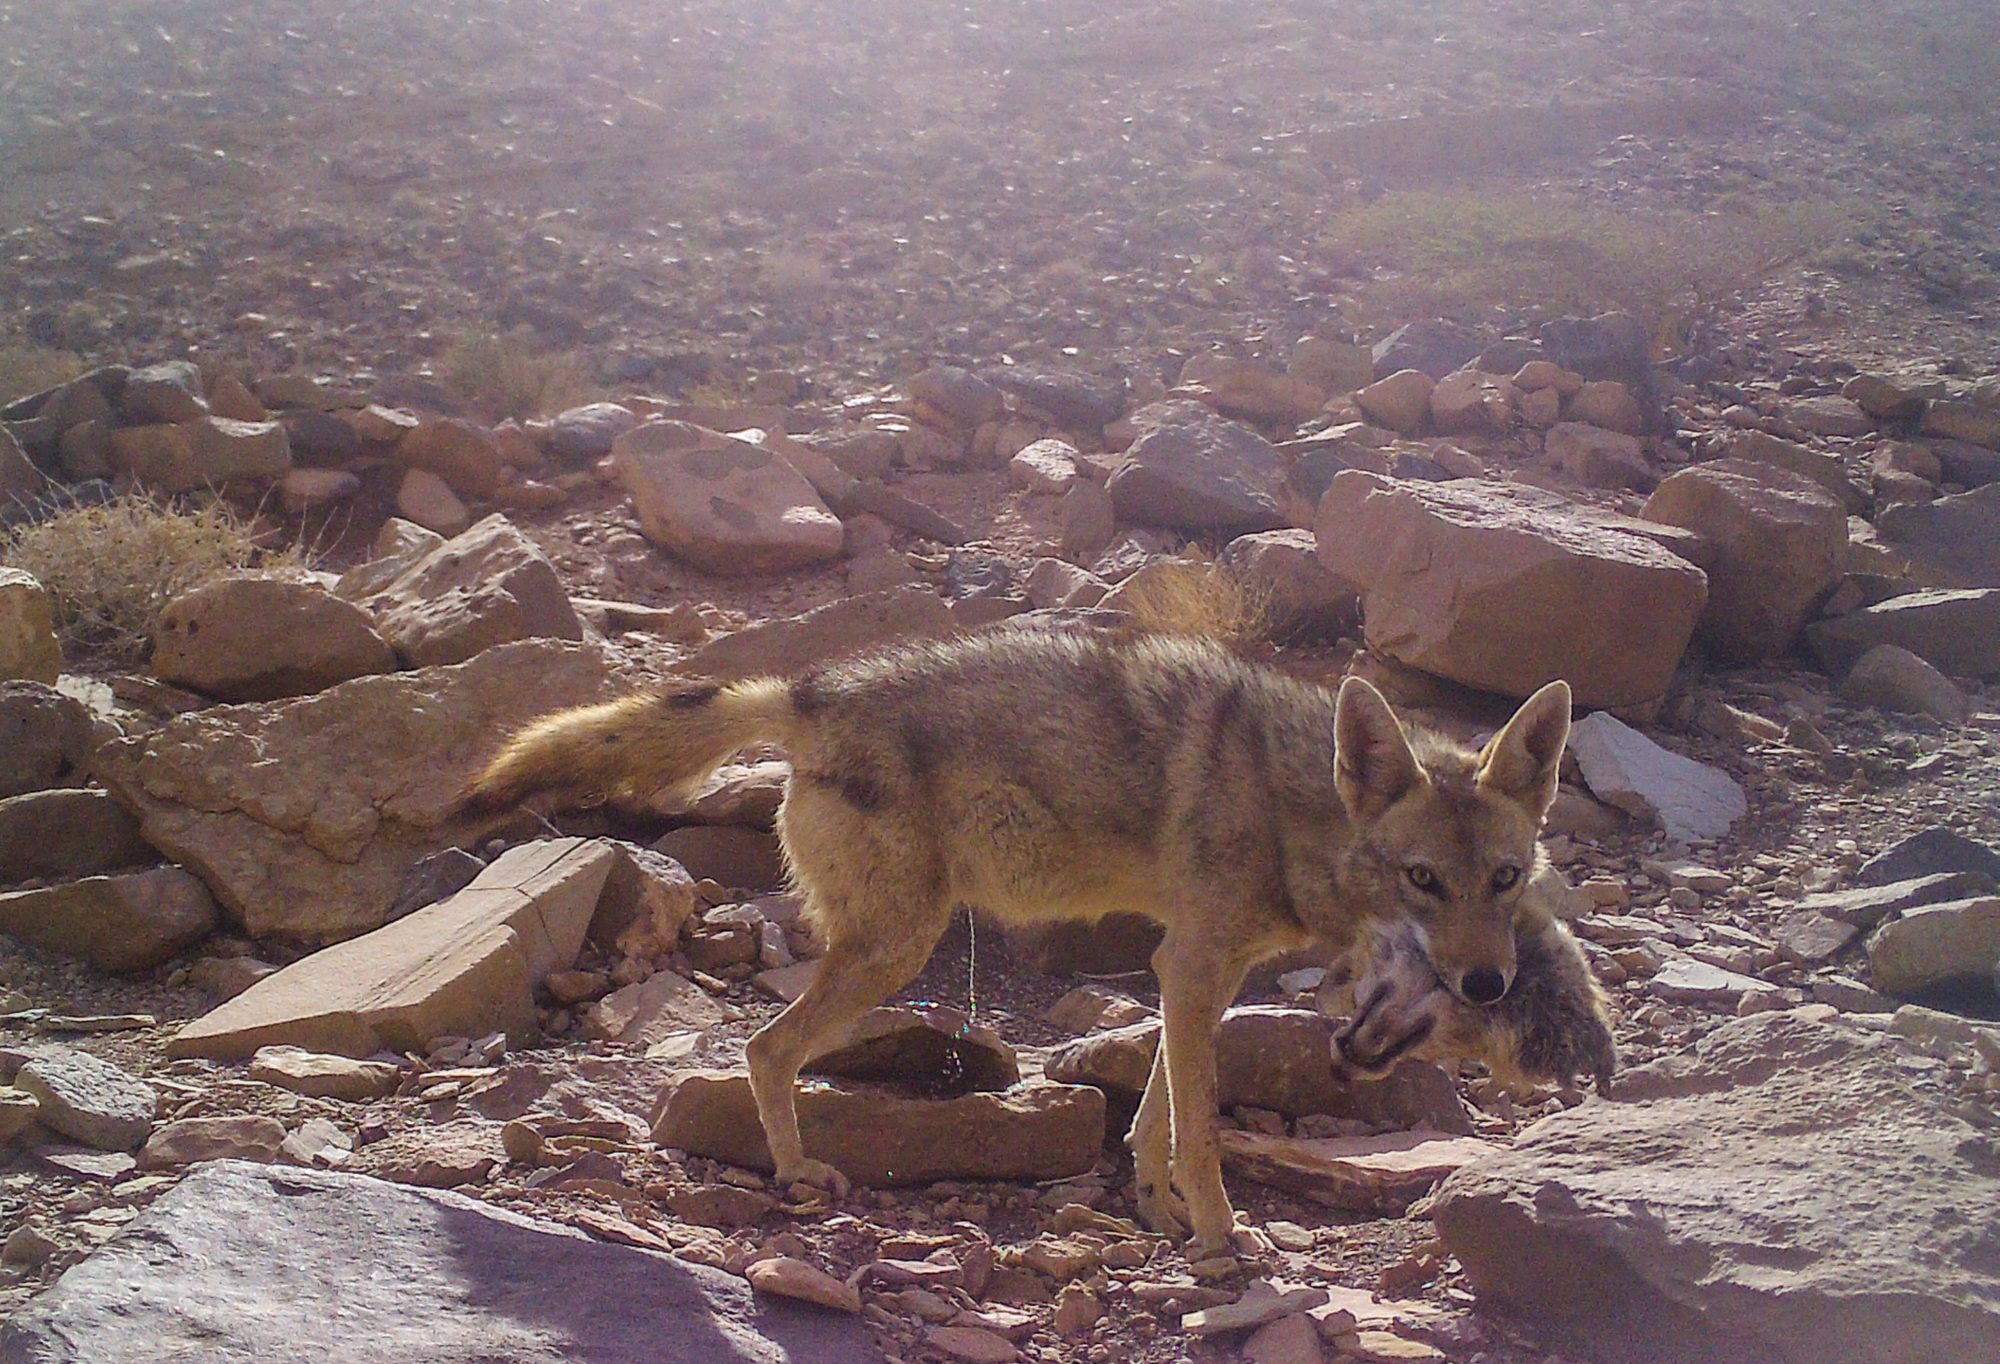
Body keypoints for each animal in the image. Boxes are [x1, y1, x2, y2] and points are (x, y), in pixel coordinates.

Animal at [459, 626, 1573, 1260]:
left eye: (1505, 878)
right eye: (1422, 880)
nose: (1486, 984)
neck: (1289, 806)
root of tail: (813, 690)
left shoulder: (1190, 971)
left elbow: (1155, 1114)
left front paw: (1160, 1211)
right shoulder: (1192, 967)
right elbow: (1202, 1130)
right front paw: (1222, 1240)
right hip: (895, 951)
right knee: (764, 1048)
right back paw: (798, 1175)